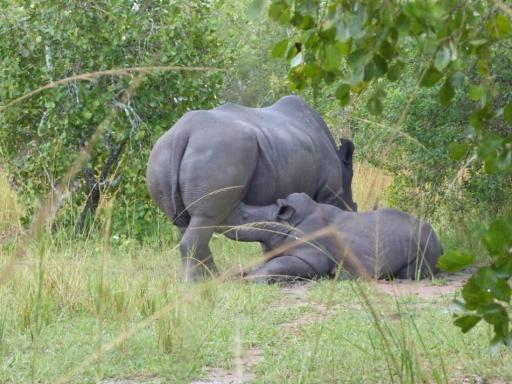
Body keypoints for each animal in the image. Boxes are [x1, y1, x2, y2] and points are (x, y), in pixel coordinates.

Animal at [146, 95, 356, 282]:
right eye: (353, 206)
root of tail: (182, 134)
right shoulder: (329, 193)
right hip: (220, 151)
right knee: (205, 219)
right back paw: (201, 281)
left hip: (161, 156)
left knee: (184, 222)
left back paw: (203, 279)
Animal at [230, 192, 442, 282]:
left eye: (245, 217)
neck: (288, 224)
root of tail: (439, 242)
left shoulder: (311, 256)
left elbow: (279, 265)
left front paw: (247, 281)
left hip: (426, 243)